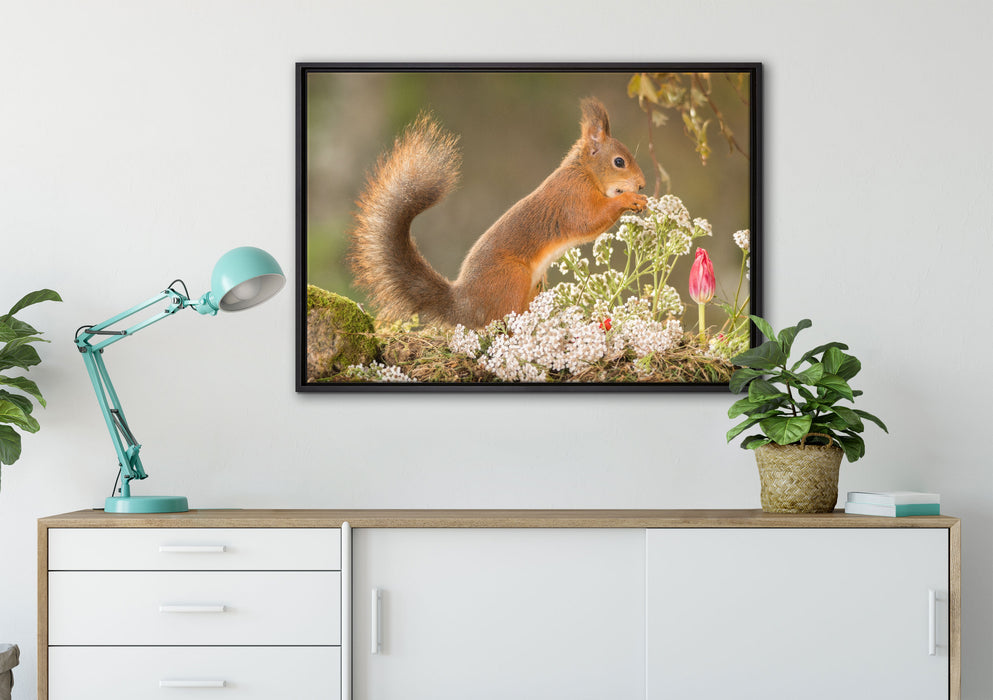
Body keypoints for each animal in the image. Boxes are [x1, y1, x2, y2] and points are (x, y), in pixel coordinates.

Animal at [348, 97, 648, 329]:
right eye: (619, 162)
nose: (642, 184)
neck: (584, 172)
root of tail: (464, 306)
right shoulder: (572, 198)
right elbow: (589, 221)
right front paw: (630, 199)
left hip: (533, 286)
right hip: (512, 278)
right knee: (502, 322)